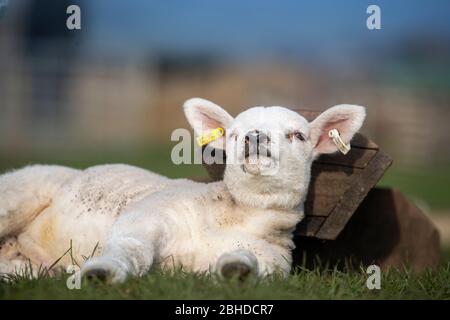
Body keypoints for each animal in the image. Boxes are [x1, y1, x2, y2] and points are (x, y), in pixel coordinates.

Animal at [0, 97, 366, 282]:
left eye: (298, 135)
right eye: (235, 133)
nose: (254, 138)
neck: (236, 217)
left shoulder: (273, 262)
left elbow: (247, 266)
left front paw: (235, 270)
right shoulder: (149, 216)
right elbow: (132, 248)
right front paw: (102, 274)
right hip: (18, 195)